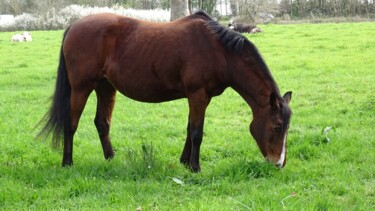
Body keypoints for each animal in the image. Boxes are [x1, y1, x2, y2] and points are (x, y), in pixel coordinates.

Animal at [39, 11, 296, 171]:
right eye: (277, 127)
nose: (279, 163)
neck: (220, 51)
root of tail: (74, 25)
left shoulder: (201, 98)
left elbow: (189, 129)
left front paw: (185, 162)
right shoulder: (198, 95)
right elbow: (197, 132)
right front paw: (195, 167)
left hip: (105, 87)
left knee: (102, 123)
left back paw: (111, 159)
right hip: (81, 88)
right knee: (71, 124)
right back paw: (67, 162)